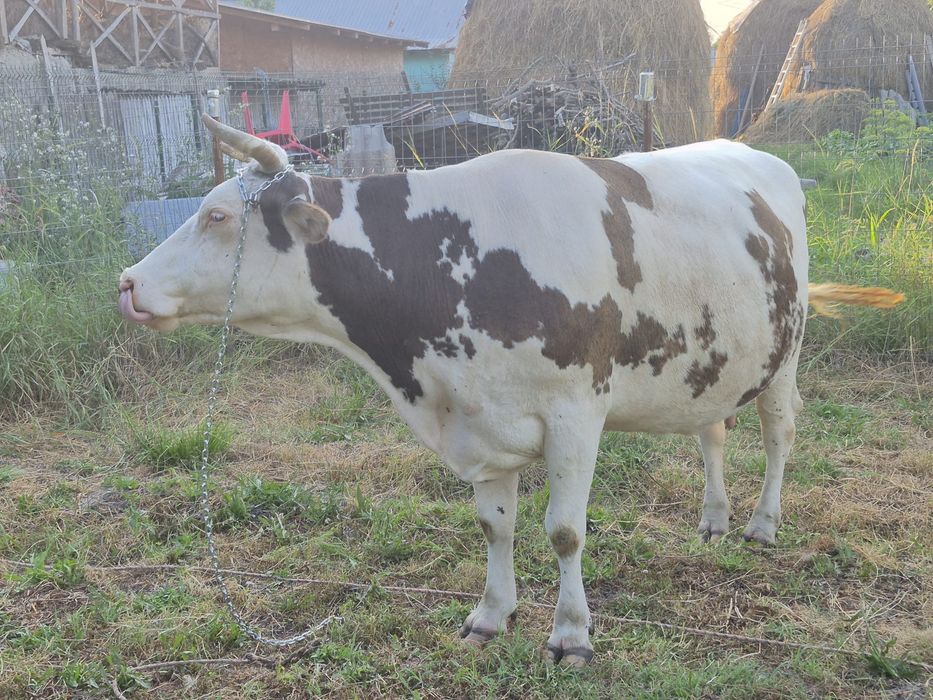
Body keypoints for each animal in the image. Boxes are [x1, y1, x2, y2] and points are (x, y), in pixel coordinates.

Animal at [118, 116, 900, 666]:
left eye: (218, 216)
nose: (128, 283)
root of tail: (758, 156)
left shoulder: (575, 413)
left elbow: (564, 531)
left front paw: (571, 635)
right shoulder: (478, 419)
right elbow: (495, 526)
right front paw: (491, 617)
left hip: (783, 355)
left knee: (778, 433)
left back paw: (762, 522)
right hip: (709, 363)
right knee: (710, 430)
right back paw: (712, 518)